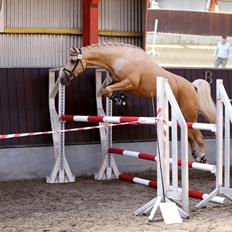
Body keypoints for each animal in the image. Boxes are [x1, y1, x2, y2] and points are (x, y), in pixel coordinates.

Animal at [59, 43, 216, 163]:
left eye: (72, 61)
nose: (62, 79)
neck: (121, 58)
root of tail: (192, 86)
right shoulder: (117, 82)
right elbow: (104, 90)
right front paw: (120, 99)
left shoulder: (130, 83)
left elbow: (107, 90)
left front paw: (120, 100)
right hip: (178, 113)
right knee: (190, 135)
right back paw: (196, 156)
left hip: (189, 114)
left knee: (198, 135)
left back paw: (202, 157)